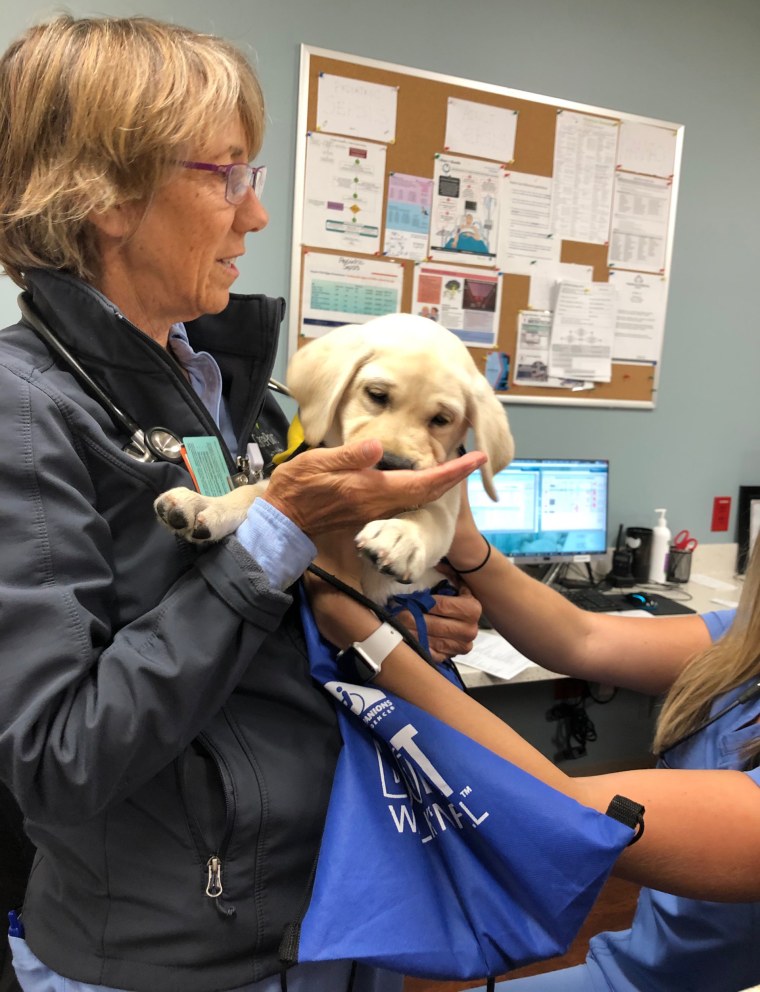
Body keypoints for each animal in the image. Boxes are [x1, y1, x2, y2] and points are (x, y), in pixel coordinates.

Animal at [157, 314, 512, 600]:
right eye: (376, 395)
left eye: (442, 420)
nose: (394, 465)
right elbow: (252, 493)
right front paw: (205, 504)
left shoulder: (445, 497)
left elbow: (430, 516)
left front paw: (400, 536)